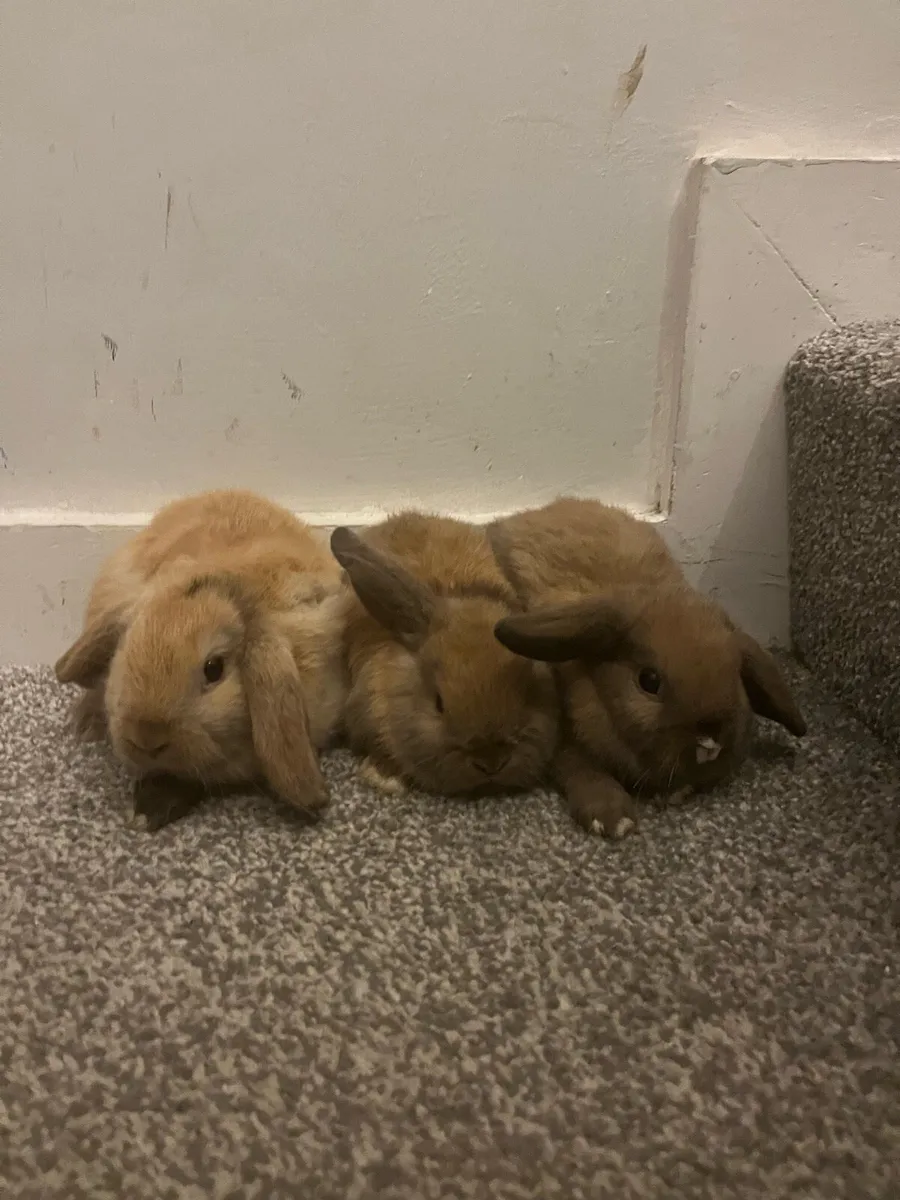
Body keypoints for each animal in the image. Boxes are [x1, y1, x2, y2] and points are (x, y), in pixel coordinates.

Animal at [488, 497, 807, 839]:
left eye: (735, 674)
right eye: (649, 681)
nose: (712, 735)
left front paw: (674, 793)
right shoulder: (562, 739)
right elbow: (580, 769)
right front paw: (613, 820)